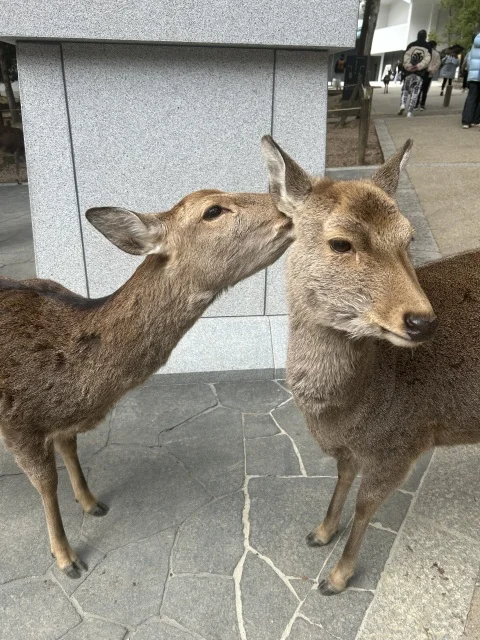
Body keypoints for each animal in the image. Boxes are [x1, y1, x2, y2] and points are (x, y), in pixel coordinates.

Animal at [0, 188, 294, 576]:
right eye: (212, 210)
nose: (289, 208)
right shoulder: (18, 423)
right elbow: (46, 484)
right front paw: (67, 558)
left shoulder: (61, 423)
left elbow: (70, 449)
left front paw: (92, 503)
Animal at [260, 135, 480, 596]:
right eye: (341, 242)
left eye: (409, 239)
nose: (422, 321)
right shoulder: (351, 446)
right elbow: (342, 479)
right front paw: (321, 532)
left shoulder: (404, 442)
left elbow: (365, 506)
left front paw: (336, 578)